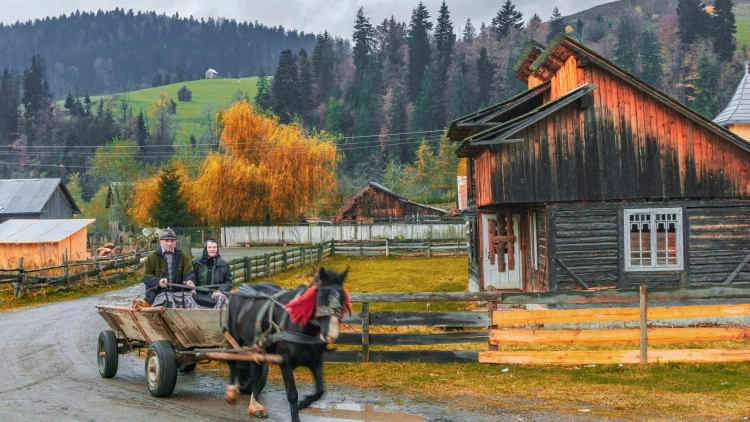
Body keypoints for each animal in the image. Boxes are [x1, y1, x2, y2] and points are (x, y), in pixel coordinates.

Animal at [225, 268, 352, 422]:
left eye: (343, 298)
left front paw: (302, 404)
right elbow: (292, 394)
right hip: (234, 338)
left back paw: (255, 406)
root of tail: (237, 291)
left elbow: (320, 391)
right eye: (321, 296)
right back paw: (231, 392)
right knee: (232, 361)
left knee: (255, 375)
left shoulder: (315, 360)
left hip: (257, 347)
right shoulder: (284, 361)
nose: (331, 334)